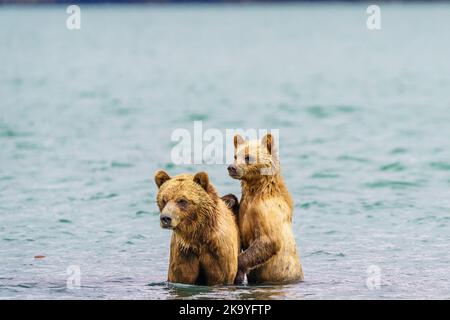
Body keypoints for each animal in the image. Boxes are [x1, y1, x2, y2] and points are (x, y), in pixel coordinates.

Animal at [227, 134, 304, 284]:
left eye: (248, 157)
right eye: (235, 155)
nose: (231, 167)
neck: (257, 190)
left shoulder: (265, 211)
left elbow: (269, 240)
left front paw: (238, 270)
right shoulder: (245, 208)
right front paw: (230, 200)